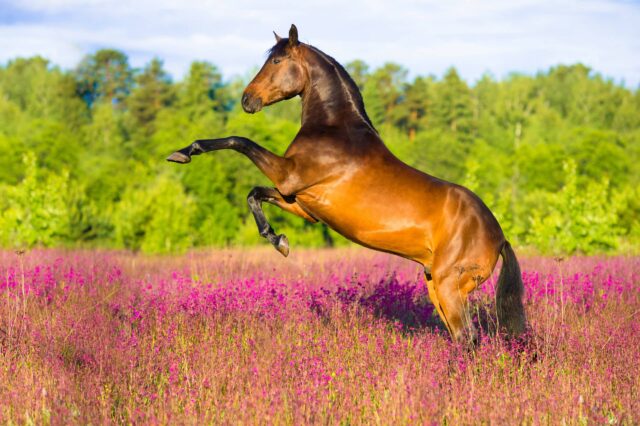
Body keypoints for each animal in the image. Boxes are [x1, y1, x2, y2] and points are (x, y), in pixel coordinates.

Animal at [168, 24, 528, 346]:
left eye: (276, 61)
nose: (247, 99)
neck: (333, 128)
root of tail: (498, 235)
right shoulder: (299, 202)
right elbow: (254, 194)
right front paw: (279, 240)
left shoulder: (287, 175)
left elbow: (238, 141)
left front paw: (183, 153)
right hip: (435, 285)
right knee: (463, 338)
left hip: (449, 286)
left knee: (468, 338)